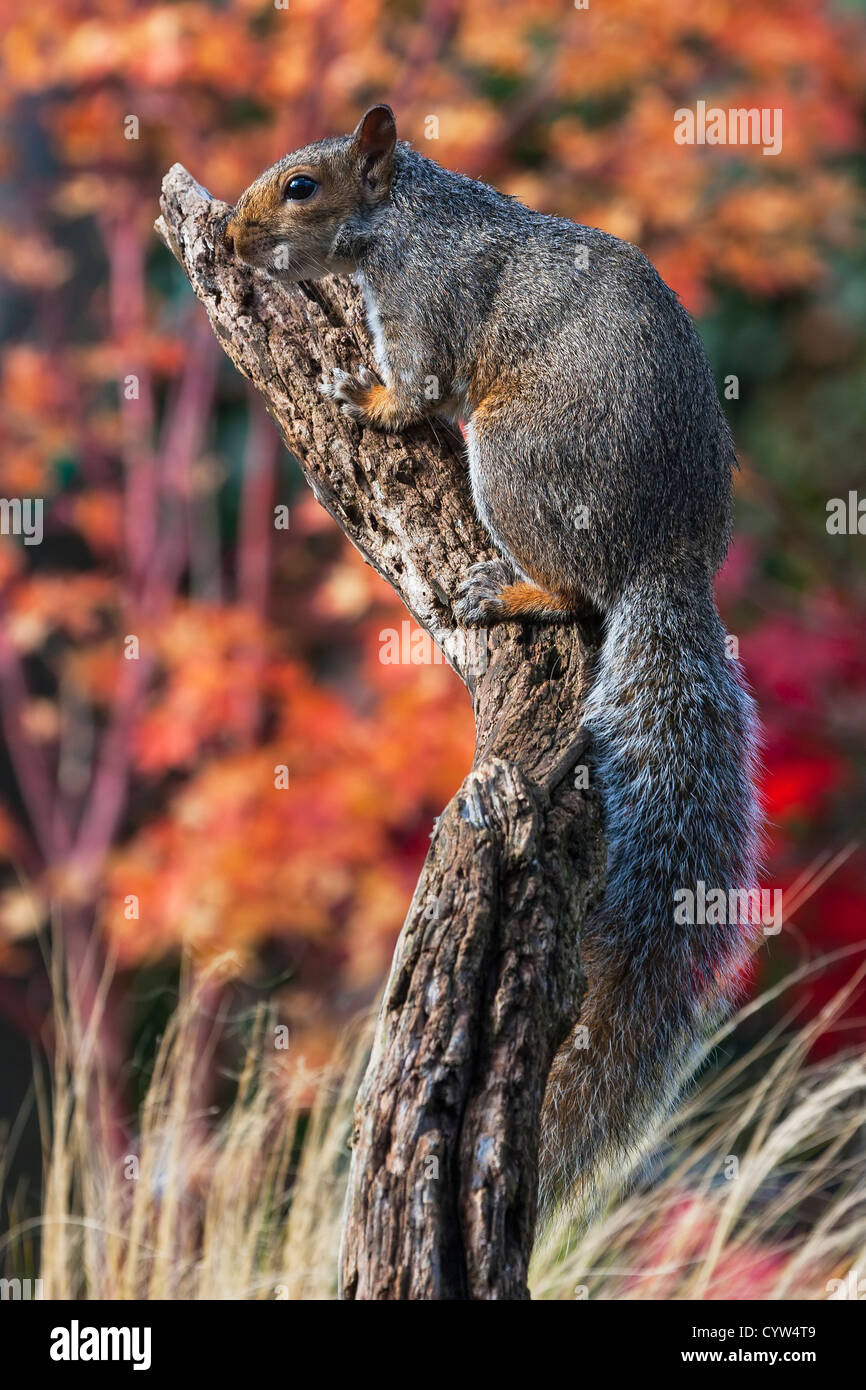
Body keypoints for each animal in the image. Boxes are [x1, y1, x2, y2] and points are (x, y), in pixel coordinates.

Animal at [226, 108, 761, 1217]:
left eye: (300, 187)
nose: (229, 240)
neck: (402, 216)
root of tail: (669, 559)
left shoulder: (429, 304)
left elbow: (419, 384)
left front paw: (367, 396)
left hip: (516, 460)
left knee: (576, 591)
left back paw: (511, 591)